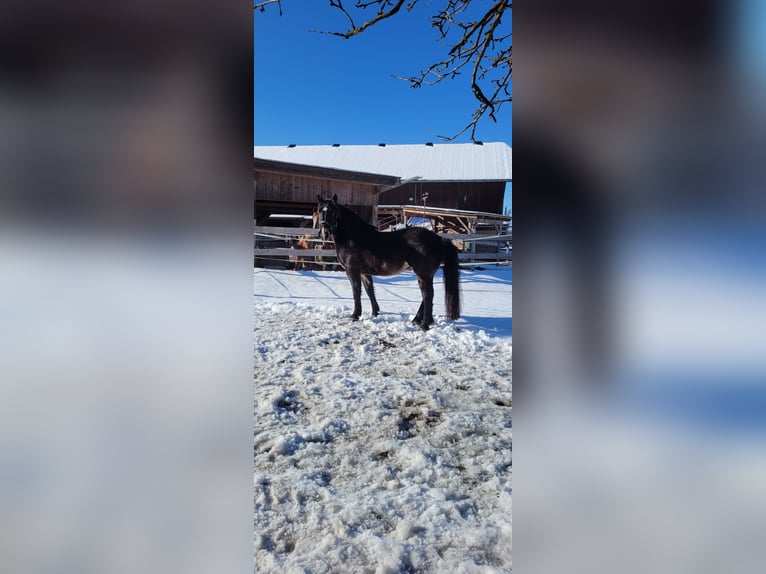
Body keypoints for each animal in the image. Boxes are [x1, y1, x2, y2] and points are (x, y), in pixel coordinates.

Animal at [316, 194, 461, 330]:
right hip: (425, 275)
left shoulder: (352, 270)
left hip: (423, 274)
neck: (354, 238)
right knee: (425, 297)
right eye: (319, 211)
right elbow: (369, 291)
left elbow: (356, 291)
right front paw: (375, 312)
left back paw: (424, 325)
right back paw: (418, 320)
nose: (324, 233)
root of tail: (439, 239)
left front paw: (355, 315)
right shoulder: (364, 272)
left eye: (333, 211)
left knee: (428, 295)